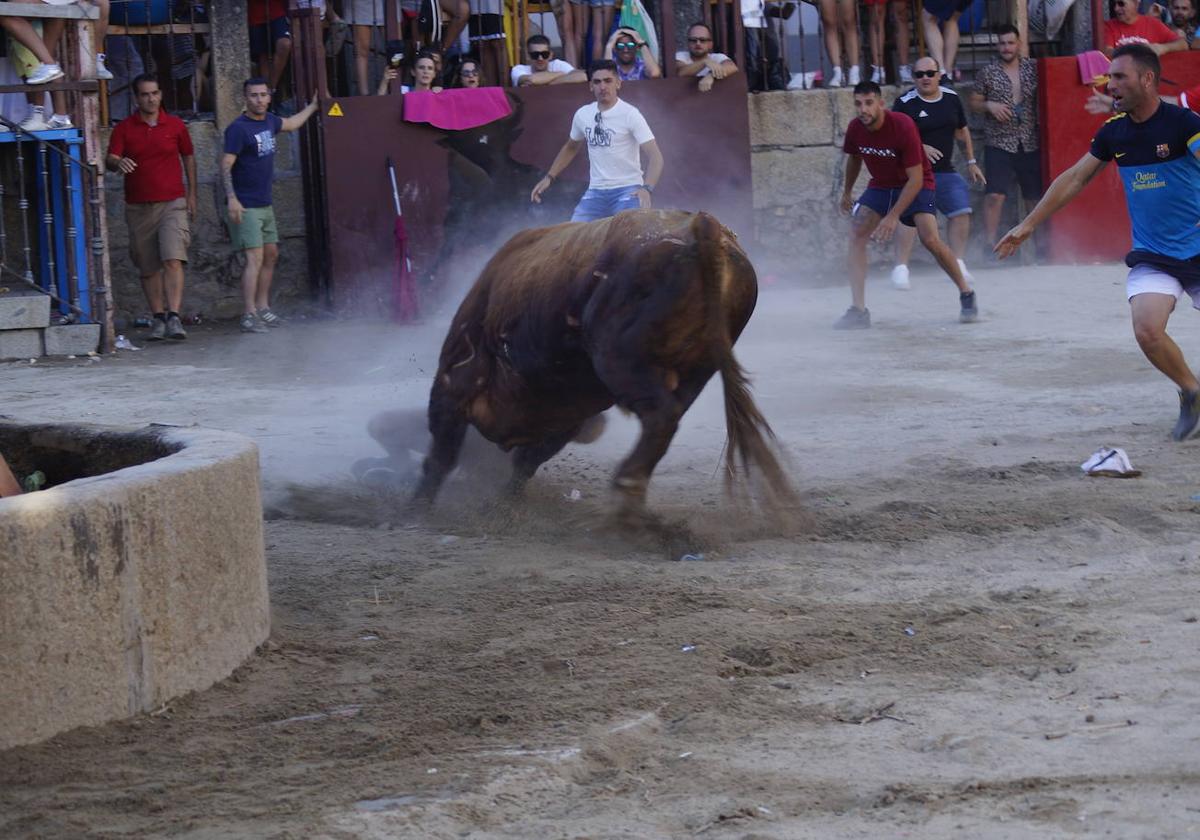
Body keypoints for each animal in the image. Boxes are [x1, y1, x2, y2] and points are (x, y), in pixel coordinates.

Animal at [415, 208, 796, 518]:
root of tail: (703, 226)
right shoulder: (567, 412)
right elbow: (526, 461)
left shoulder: (455, 379)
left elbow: (443, 453)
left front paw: (416, 509)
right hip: (695, 371)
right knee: (666, 420)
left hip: (620, 361)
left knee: (660, 416)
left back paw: (626, 492)